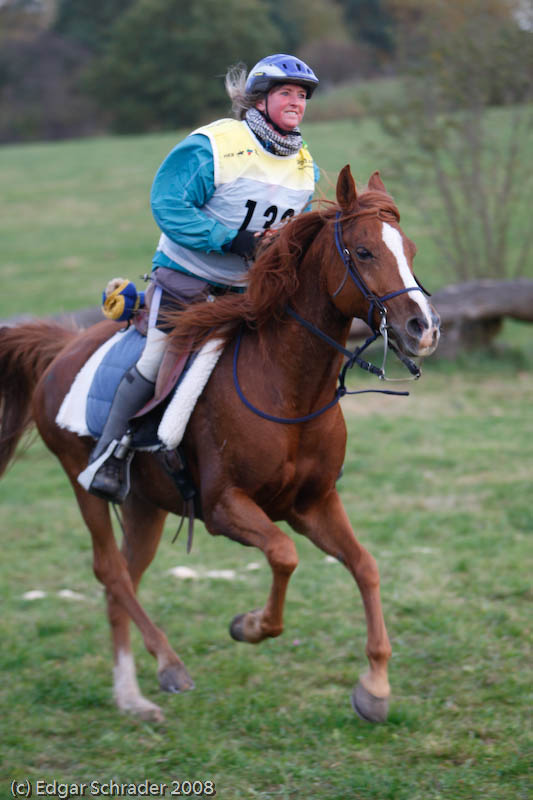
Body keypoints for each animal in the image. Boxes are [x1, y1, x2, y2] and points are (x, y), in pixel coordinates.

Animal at [0, 167, 440, 724]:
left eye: (411, 249)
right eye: (363, 252)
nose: (424, 328)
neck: (287, 388)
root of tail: (62, 348)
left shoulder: (313, 503)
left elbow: (365, 565)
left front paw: (375, 687)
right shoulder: (224, 507)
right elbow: (284, 556)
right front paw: (250, 626)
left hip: (145, 504)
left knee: (124, 578)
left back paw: (130, 695)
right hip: (84, 483)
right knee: (110, 570)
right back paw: (168, 665)